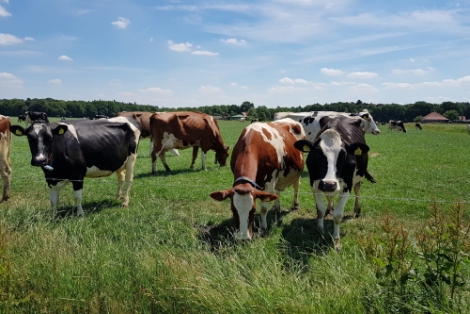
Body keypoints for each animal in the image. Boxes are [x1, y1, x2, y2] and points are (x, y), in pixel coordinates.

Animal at [9, 116, 140, 216]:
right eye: (29, 137)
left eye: (50, 137)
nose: (39, 160)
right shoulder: (50, 178)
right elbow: (53, 200)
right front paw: (53, 216)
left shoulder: (78, 175)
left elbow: (77, 197)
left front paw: (80, 214)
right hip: (120, 162)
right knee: (120, 178)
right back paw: (118, 196)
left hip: (131, 159)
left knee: (129, 180)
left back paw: (125, 202)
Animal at [294, 115, 374, 250]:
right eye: (317, 154)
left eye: (343, 155)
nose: (328, 184)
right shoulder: (314, 184)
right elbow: (320, 210)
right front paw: (320, 232)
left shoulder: (347, 186)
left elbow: (338, 215)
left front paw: (336, 241)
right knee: (330, 197)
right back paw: (329, 208)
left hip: (358, 176)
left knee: (357, 189)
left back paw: (357, 210)